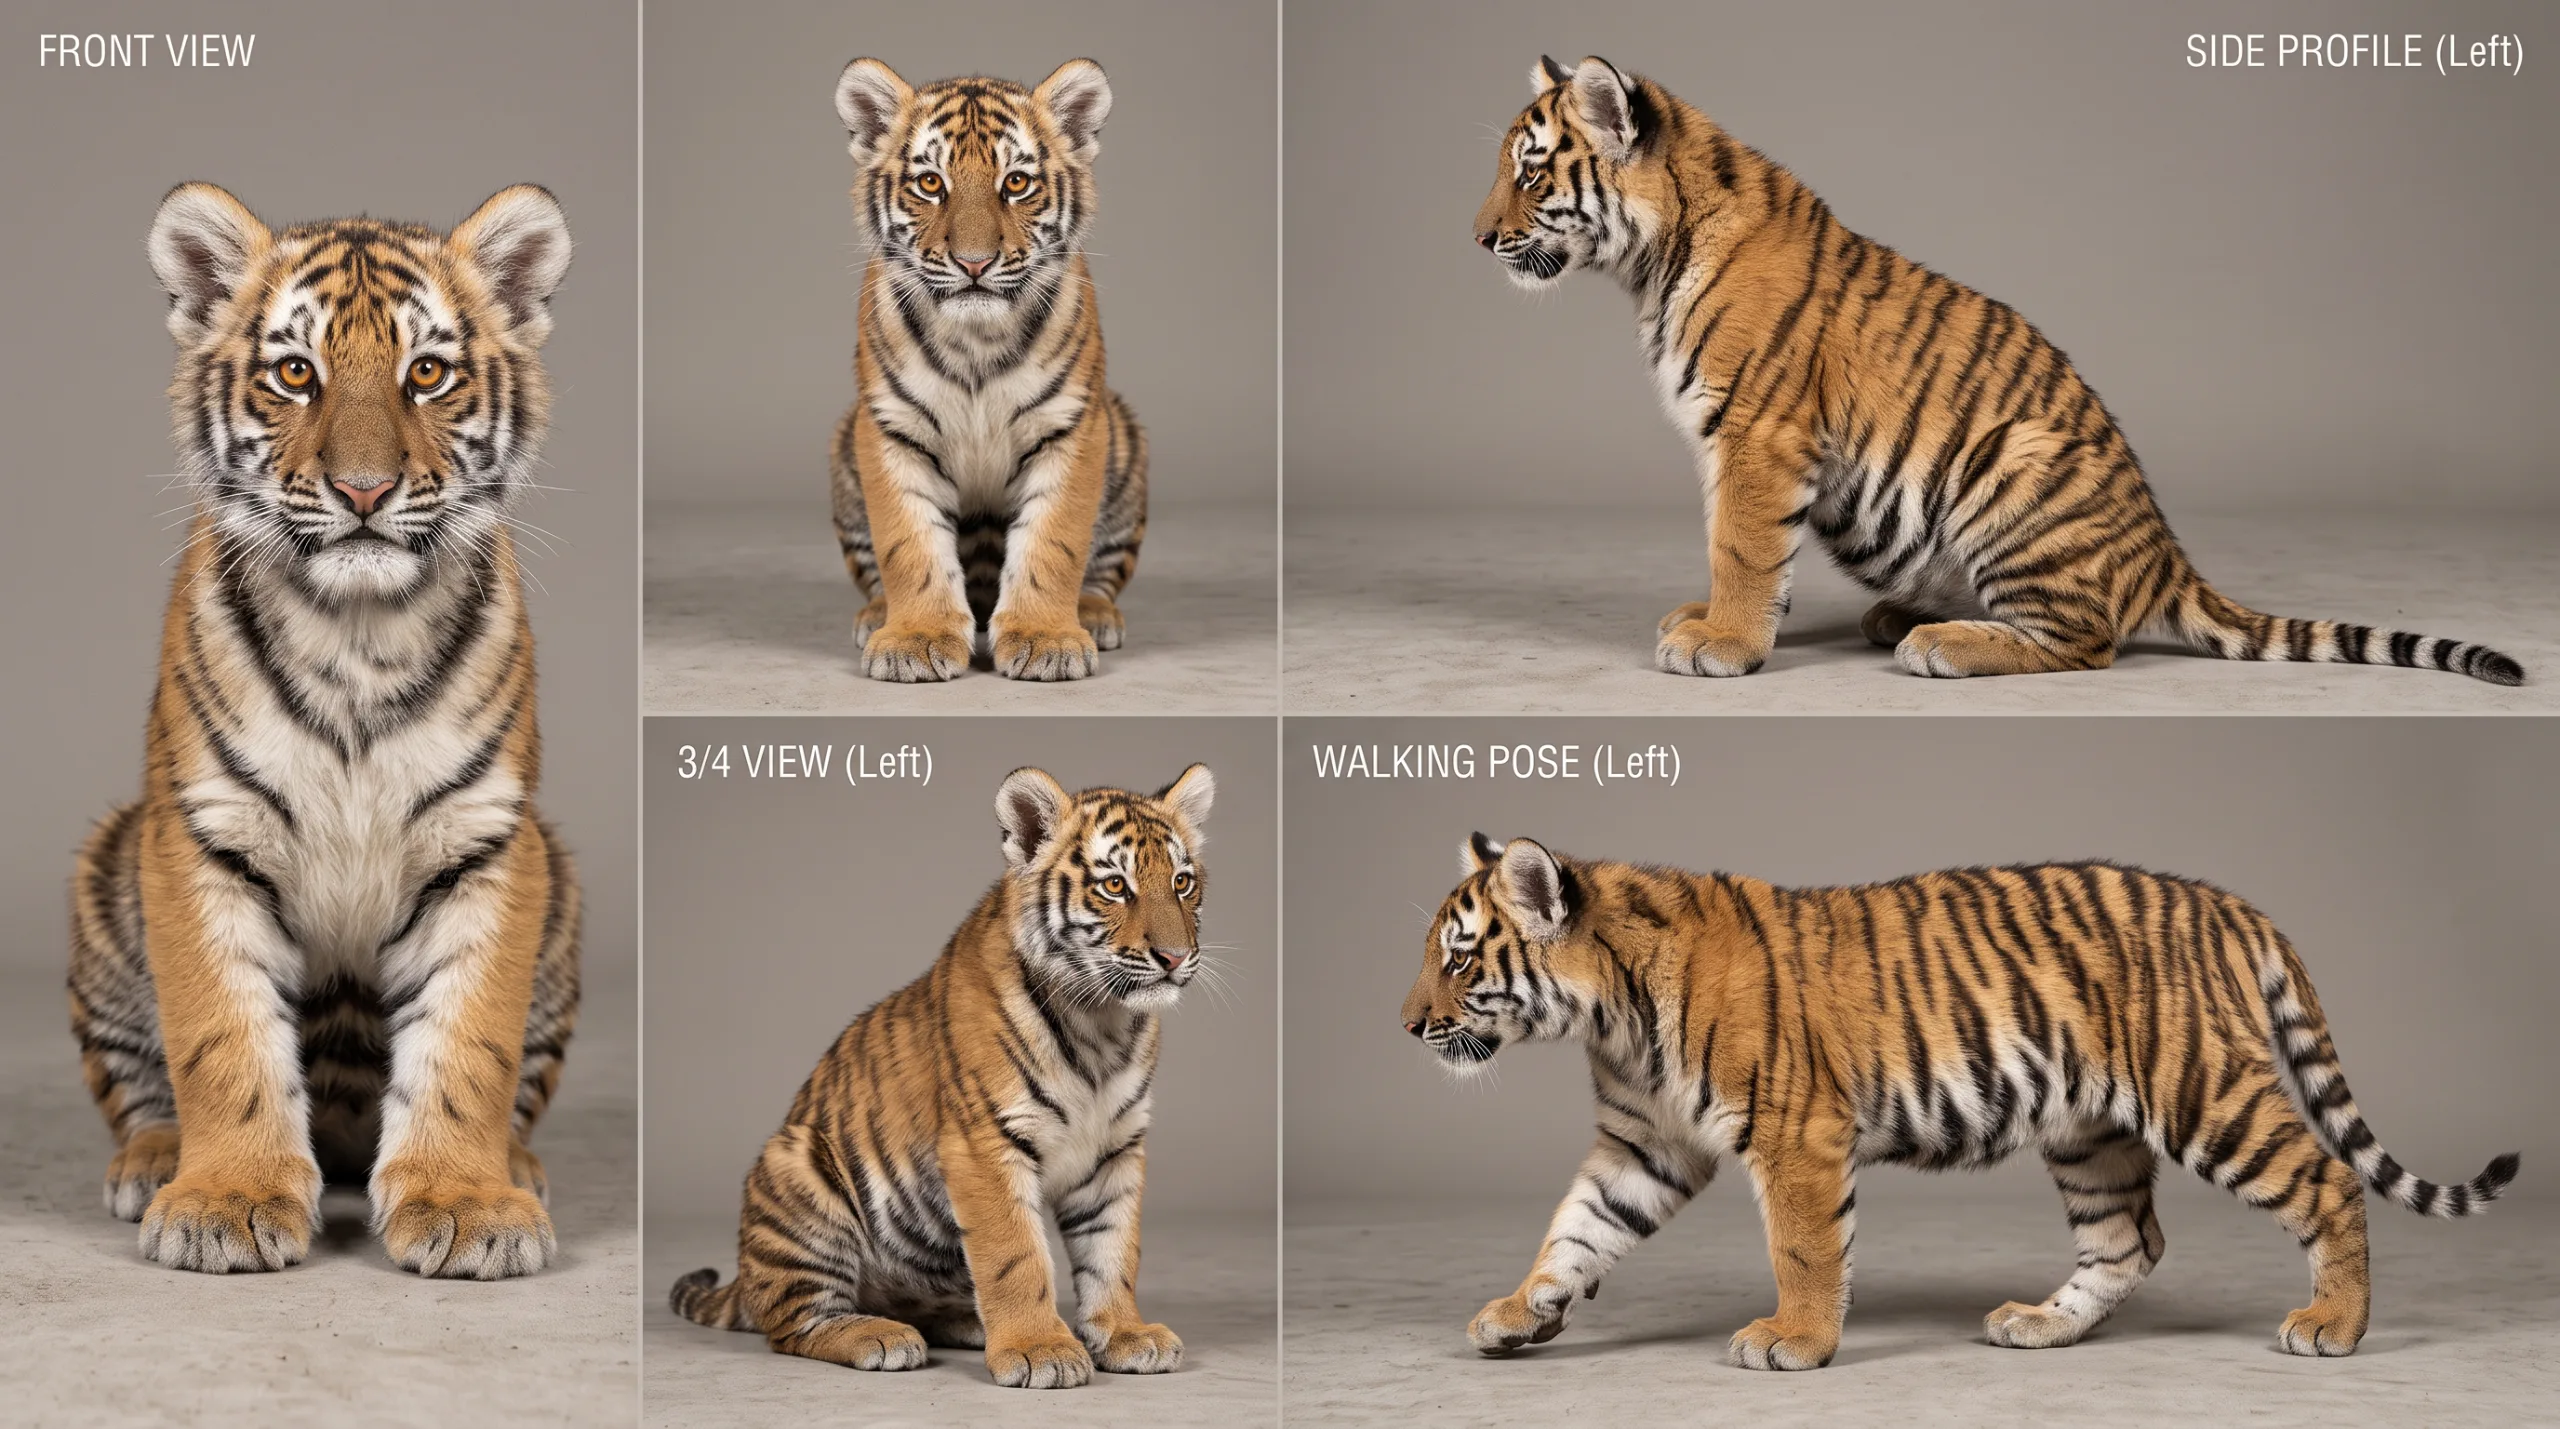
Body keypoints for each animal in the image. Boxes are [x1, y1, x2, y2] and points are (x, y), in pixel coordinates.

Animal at [65, 181, 582, 1279]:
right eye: (295, 373)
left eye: (426, 372)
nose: (363, 491)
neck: (359, 633)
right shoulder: (200, 834)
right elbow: (220, 1034)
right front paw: (226, 1200)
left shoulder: (488, 842)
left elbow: (470, 1042)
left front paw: (466, 1202)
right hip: (111, 862)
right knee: (142, 1082)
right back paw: (155, 1158)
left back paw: (518, 1165)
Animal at [670, 763, 1216, 1388]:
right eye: (1115, 886)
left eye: (1181, 882)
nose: (1175, 958)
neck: (1102, 1022)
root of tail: (745, 1275)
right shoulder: (985, 1141)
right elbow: (1015, 1255)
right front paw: (1039, 1349)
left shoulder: (1116, 1148)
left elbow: (1113, 1251)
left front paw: (1125, 1334)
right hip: (799, 1165)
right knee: (792, 1326)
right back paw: (879, 1336)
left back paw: (968, 1322)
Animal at [828, 57, 1148, 683]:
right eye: (931, 183)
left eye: (1016, 183)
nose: (974, 263)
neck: (975, 341)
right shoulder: (889, 426)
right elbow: (908, 544)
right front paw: (915, 639)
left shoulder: (1071, 425)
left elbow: (1055, 541)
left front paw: (1047, 640)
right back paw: (875, 615)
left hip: (1122, 438)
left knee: (1101, 569)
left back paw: (1093, 614)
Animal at [1402, 835, 2520, 1368]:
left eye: (1458, 959)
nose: (1406, 1026)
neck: (1612, 1017)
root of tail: (2228, 903)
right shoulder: (1646, 1144)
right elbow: (1575, 1228)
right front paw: (1520, 1312)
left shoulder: (1796, 1135)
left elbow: (1802, 1249)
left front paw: (1795, 1342)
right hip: (2090, 1130)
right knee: (2130, 1241)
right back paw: (2040, 1325)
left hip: (2203, 1090)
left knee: (2329, 1180)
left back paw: (2333, 1325)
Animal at [1475, 56, 2524, 685]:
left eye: (1530, 173)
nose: (1478, 239)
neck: (1649, 263)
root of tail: (2167, 556)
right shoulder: (1730, 440)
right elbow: (1734, 544)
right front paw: (1712, 619)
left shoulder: (1757, 434)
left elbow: (1740, 542)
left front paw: (1722, 642)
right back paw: (1901, 618)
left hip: (2015, 465)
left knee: (2087, 644)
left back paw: (1939, 642)